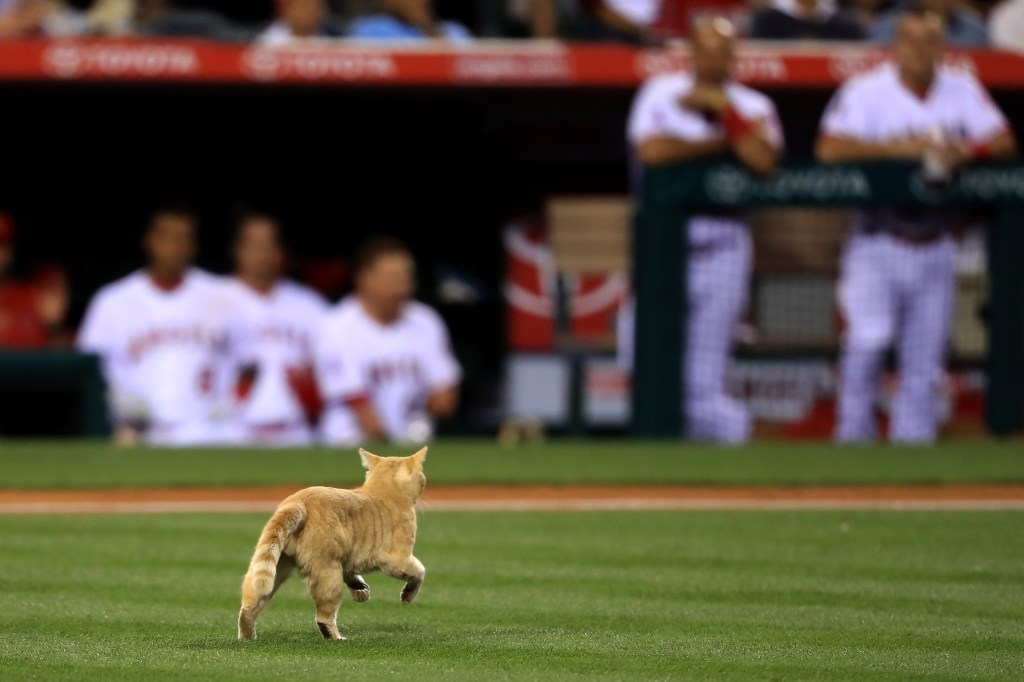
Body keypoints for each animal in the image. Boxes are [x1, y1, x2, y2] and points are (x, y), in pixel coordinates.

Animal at [237, 446, 425, 638]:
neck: (381, 489)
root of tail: (298, 501)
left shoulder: (349, 557)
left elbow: (352, 575)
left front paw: (360, 590)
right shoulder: (398, 558)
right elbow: (419, 572)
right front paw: (407, 595)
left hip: (274, 566)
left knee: (249, 604)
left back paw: (247, 637)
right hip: (327, 571)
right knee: (324, 616)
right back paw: (336, 637)